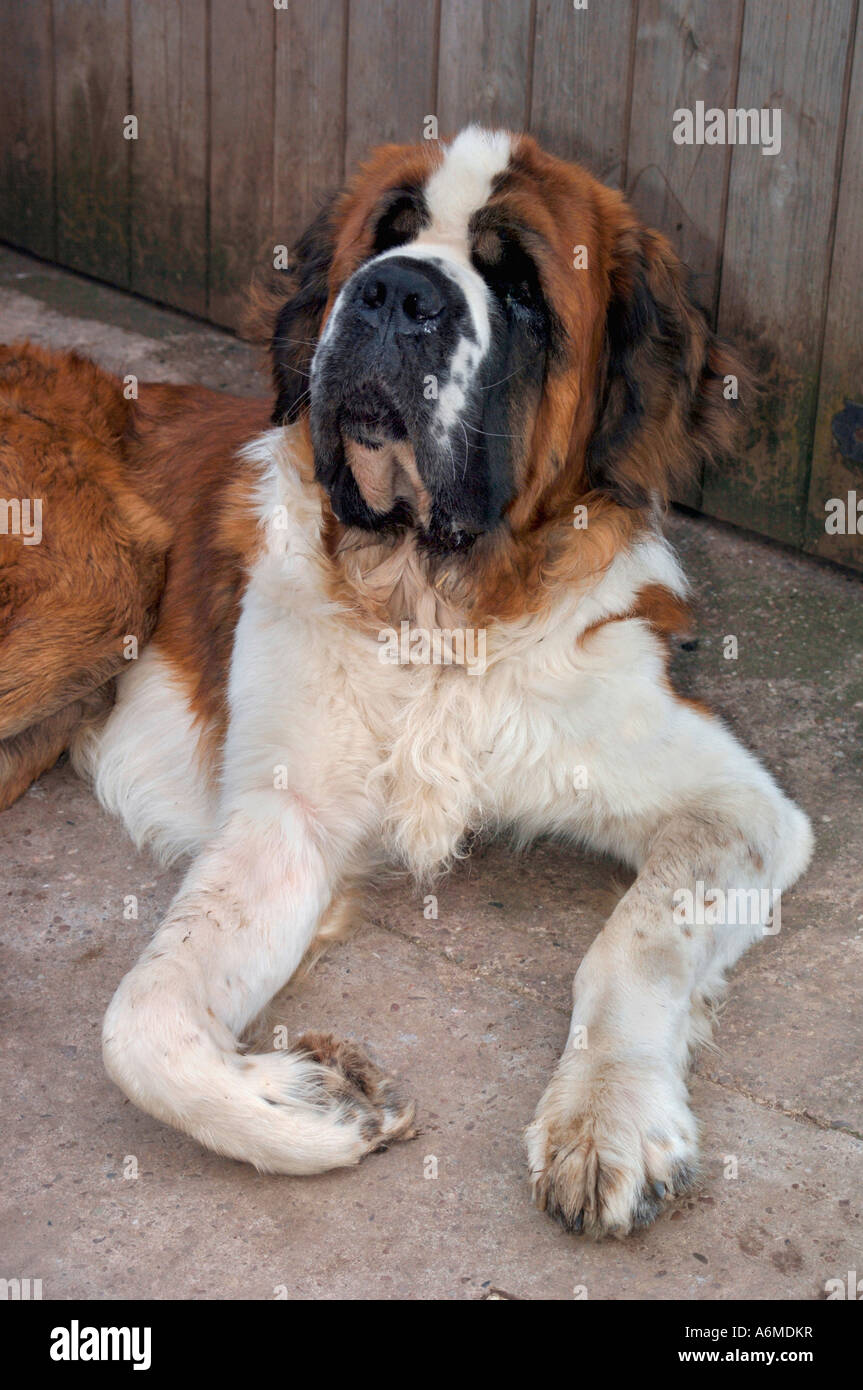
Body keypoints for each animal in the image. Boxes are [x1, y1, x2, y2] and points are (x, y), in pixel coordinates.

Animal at [0, 130, 806, 1239]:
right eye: (382, 241)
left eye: (518, 287)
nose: (395, 293)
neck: (436, 608)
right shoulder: (284, 819)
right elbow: (142, 1019)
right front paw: (314, 1105)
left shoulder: (735, 805)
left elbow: (634, 943)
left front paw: (608, 1114)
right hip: (94, 590)